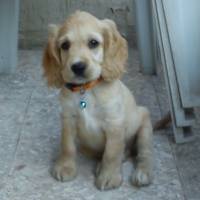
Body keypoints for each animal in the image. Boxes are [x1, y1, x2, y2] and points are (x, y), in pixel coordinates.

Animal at [43, 11, 154, 191]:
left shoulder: (114, 123)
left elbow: (111, 153)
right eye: (65, 45)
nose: (78, 67)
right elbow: (67, 146)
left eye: (93, 43)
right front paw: (65, 167)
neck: (85, 90)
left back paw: (142, 173)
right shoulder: (68, 118)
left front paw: (109, 177)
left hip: (144, 125)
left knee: (144, 153)